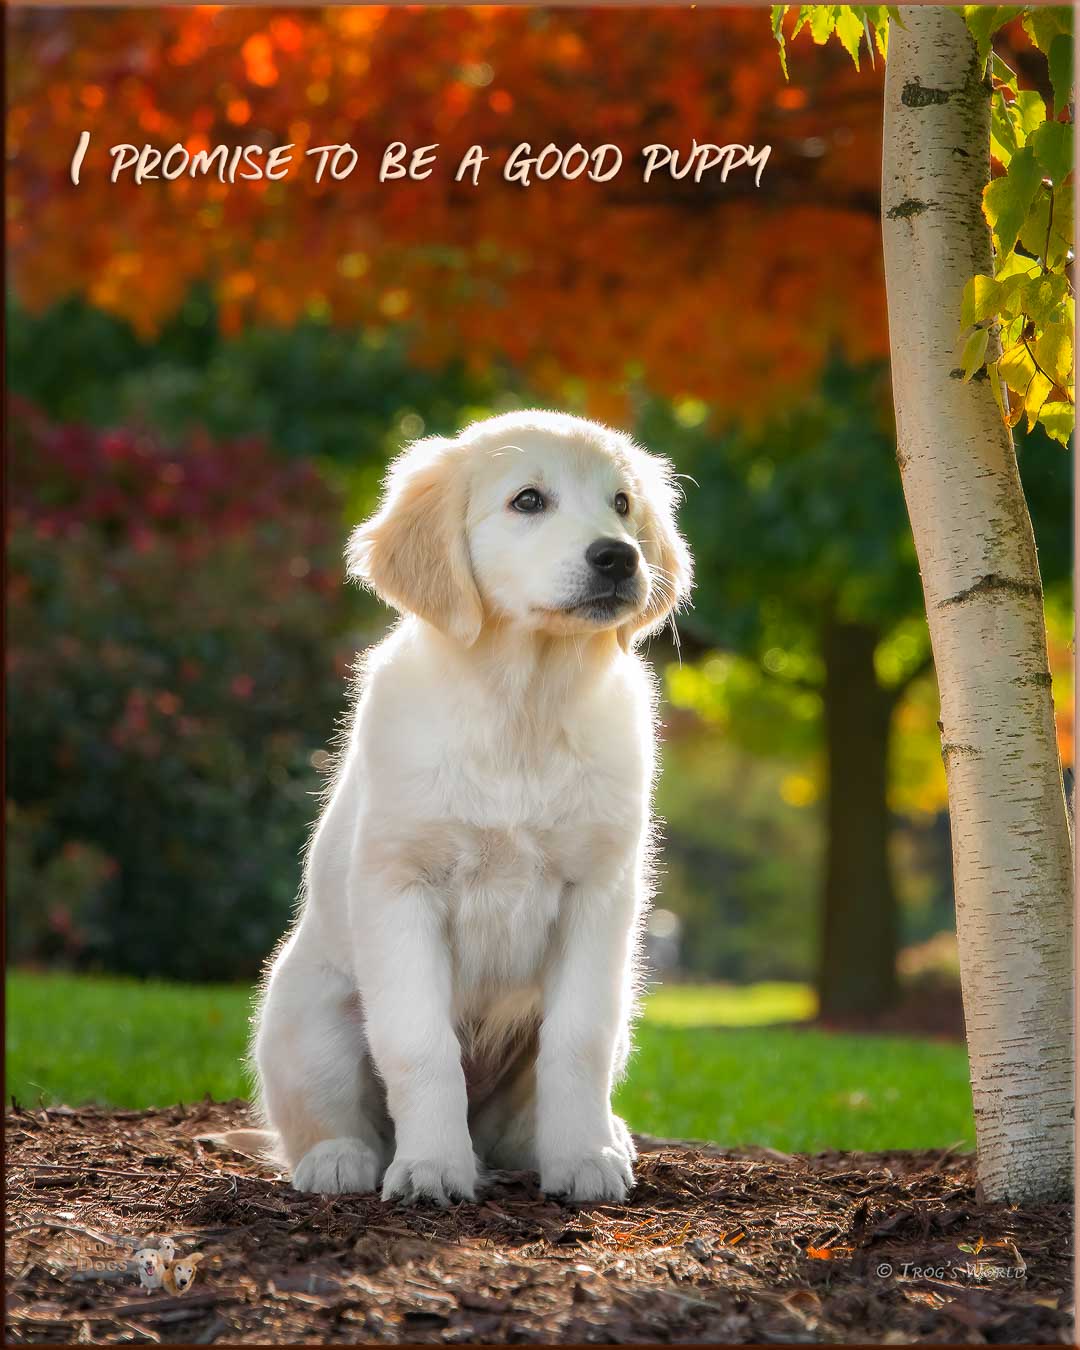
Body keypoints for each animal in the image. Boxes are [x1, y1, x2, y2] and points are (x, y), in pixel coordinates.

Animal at [245, 407, 691, 1204]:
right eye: (528, 501)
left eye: (622, 503)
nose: (618, 558)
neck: (522, 709)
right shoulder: (399, 888)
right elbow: (419, 1045)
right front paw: (430, 1169)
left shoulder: (599, 894)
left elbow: (579, 1039)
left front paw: (583, 1161)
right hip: (304, 1011)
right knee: (325, 1113)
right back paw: (338, 1159)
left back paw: (591, 1140)